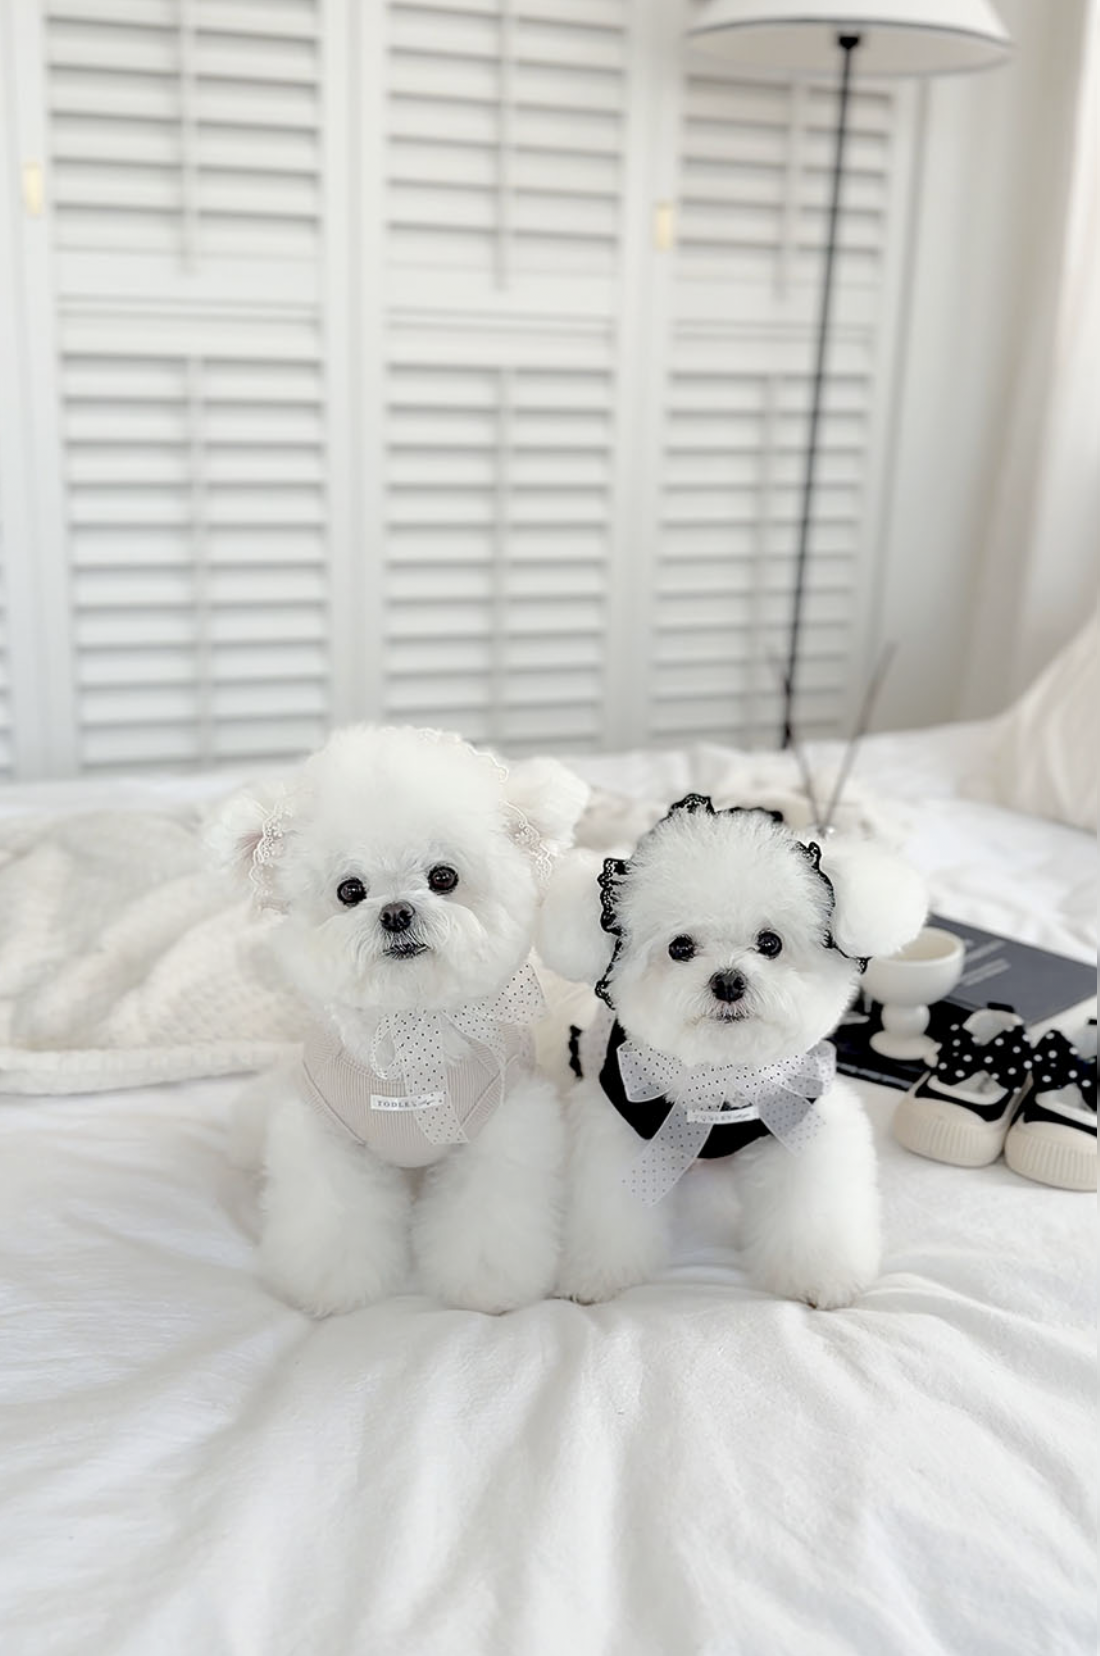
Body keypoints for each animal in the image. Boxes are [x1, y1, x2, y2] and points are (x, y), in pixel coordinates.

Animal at [208, 725, 588, 1316]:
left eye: (443, 876)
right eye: (350, 890)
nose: (396, 912)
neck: (411, 1029)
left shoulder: (501, 1130)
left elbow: (487, 1218)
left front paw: (486, 1286)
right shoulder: (327, 1137)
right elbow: (335, 1219)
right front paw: (333, 1287)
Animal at [536, 795, 927, 1308]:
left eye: (770, 942)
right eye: (680, 947)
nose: (727, 981)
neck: (721, 1076)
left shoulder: (798, 1115)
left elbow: (811, 1211)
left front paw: (821, 1276)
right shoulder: (618, 1128)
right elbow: (609, 1213)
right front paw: (593, 1276)